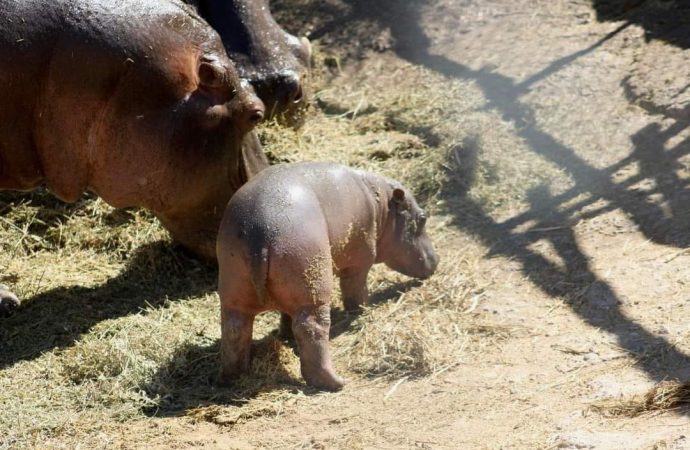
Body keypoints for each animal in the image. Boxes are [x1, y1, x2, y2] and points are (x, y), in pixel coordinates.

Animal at [218, 163, 438, 390]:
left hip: (237, 290)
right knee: (312, 327)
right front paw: (362, 311)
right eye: (423, 218)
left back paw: (233, 376)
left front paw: (285, 335)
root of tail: (257, 232)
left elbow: (286, 315)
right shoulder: (360, 261)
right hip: (314, 287)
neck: (382, 205)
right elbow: (356, 290)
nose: (436, 259)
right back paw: (335, 382)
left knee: (235, 328)